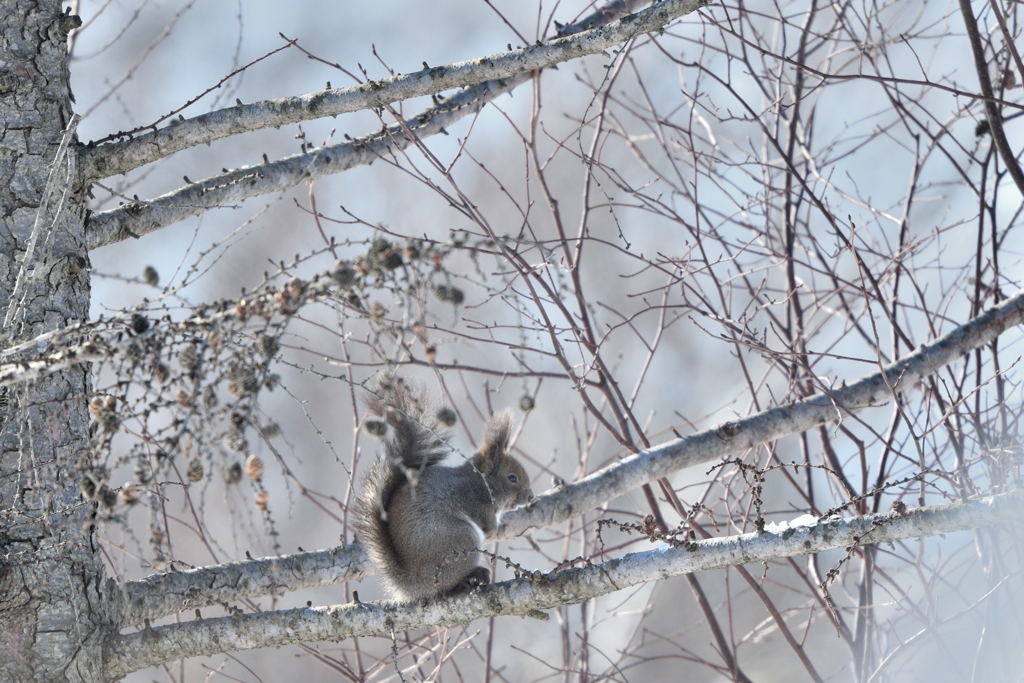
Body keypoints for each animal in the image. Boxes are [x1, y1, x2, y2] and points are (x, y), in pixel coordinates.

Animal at [358, 382, 536, 602]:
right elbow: (486, 524)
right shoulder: (472, 500)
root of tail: (414, 585)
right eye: (512, 478)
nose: (530, 496)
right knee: (449, 583)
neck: (479, 481)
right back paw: (471, 577)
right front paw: (495, 528)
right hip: (461, 541)